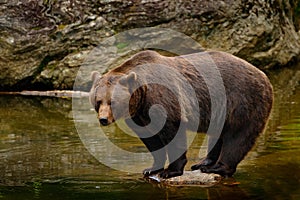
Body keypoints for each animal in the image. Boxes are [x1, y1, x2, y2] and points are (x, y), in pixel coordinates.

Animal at [88, 50, 272, 178]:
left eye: (112, 101)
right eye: (98, 101)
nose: (103, 119)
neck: (142, 93)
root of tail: (264, 75)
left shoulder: (163, 100)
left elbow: (172, 131)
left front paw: (170, 171)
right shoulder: (140, 115)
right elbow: (151, 140)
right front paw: (151, 168)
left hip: (242, 99)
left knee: (238, 135)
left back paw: (216, 167)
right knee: (218, 133)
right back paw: (203, 162)